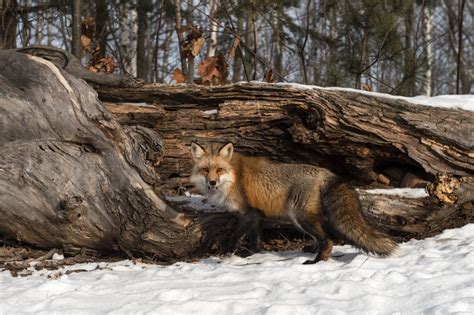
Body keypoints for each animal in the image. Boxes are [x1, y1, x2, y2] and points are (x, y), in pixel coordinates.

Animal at [189, 142, 396, 262]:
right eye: (205, 170)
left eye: (219, 170)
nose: (212, 182)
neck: (233, 177)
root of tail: (326, 173)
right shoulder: (256, 215)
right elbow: (254, 238)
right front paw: (251, 254)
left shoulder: (248, 213)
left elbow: (234, 235)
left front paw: (226, 253)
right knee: (323, 236)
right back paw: (312, 251)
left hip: (300, 216)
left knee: (327, 239)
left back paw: (317, 260)